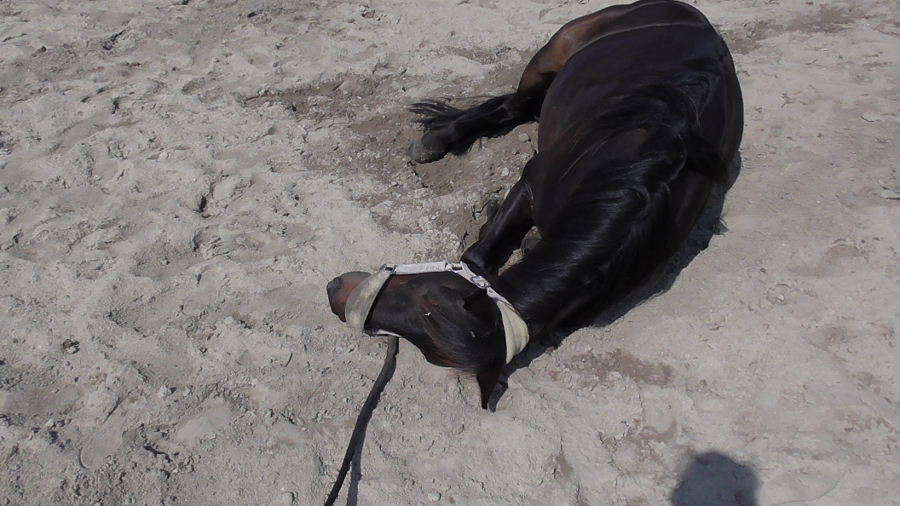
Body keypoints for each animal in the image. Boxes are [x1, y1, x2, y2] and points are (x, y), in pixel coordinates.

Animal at [327, 0, 743, 409]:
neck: (636, 174)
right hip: (549, 56)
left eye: (420, 296)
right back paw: (434, 142)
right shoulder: (527, 189)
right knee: (513, 106)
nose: (334, 290)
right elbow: (481, 254)